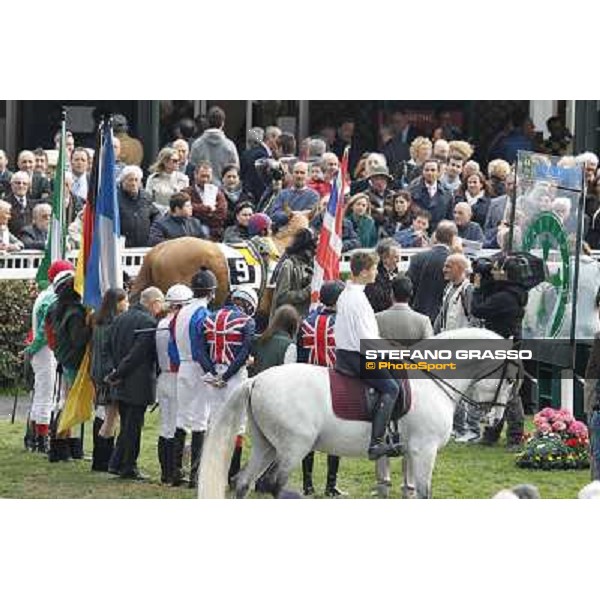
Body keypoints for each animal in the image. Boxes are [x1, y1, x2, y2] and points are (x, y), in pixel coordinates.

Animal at [197, 328, 520, 496]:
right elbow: (424, 493)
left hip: (266, 445)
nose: (494, 422)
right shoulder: (424, 450)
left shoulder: (410, 452)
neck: (432, 382)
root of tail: (256, 380)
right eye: (510, 379)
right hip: (293, 447)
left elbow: (406, 490)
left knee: (243, 483)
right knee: (271, 485)